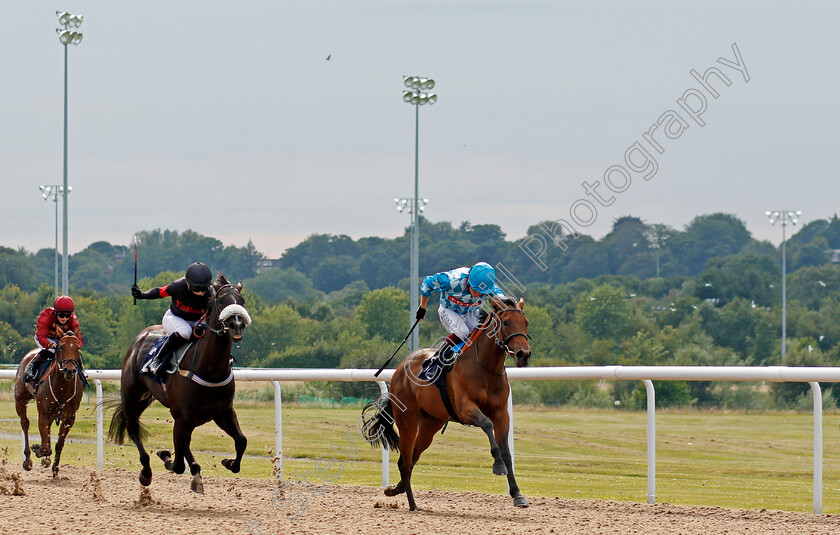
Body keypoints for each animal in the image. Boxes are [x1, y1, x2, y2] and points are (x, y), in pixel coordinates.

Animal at [14, 332, 85, 480]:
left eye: (77, 349)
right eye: (61, 347)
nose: (69, 370)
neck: (62, 389)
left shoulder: (69, 418)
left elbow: (59, 444)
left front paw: (55, 469)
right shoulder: (44, 414)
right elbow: (46, 447)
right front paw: (38, 450)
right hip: (20, 399)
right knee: (25, 423)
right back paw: (28, 460)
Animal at [106, 276, 249, 494]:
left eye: (241, 301)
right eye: (222, 300)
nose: (237, 325)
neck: (209, 368)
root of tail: (143, 335)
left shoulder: (222, 412)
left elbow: (241, 441)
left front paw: (229, 462)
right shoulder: (183, 417)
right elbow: (179, 463)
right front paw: (166, 457)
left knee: (184, 444)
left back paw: (196, 473)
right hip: (131, 394)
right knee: (133, 428)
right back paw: (147, 470)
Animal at [360, 298, 532, 510]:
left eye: (526, 323)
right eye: (506, 322)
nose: (523, 354)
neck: (484, 367)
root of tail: (401, 368)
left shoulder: (501, 413)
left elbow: (507, 451)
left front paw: (517, 494)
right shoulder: (465, 408)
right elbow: (486, 424)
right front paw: (497, 464)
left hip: (431, 424)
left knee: (411, 458)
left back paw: (395, 489)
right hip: (408, 420)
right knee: (405, 460)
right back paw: (412, 504)